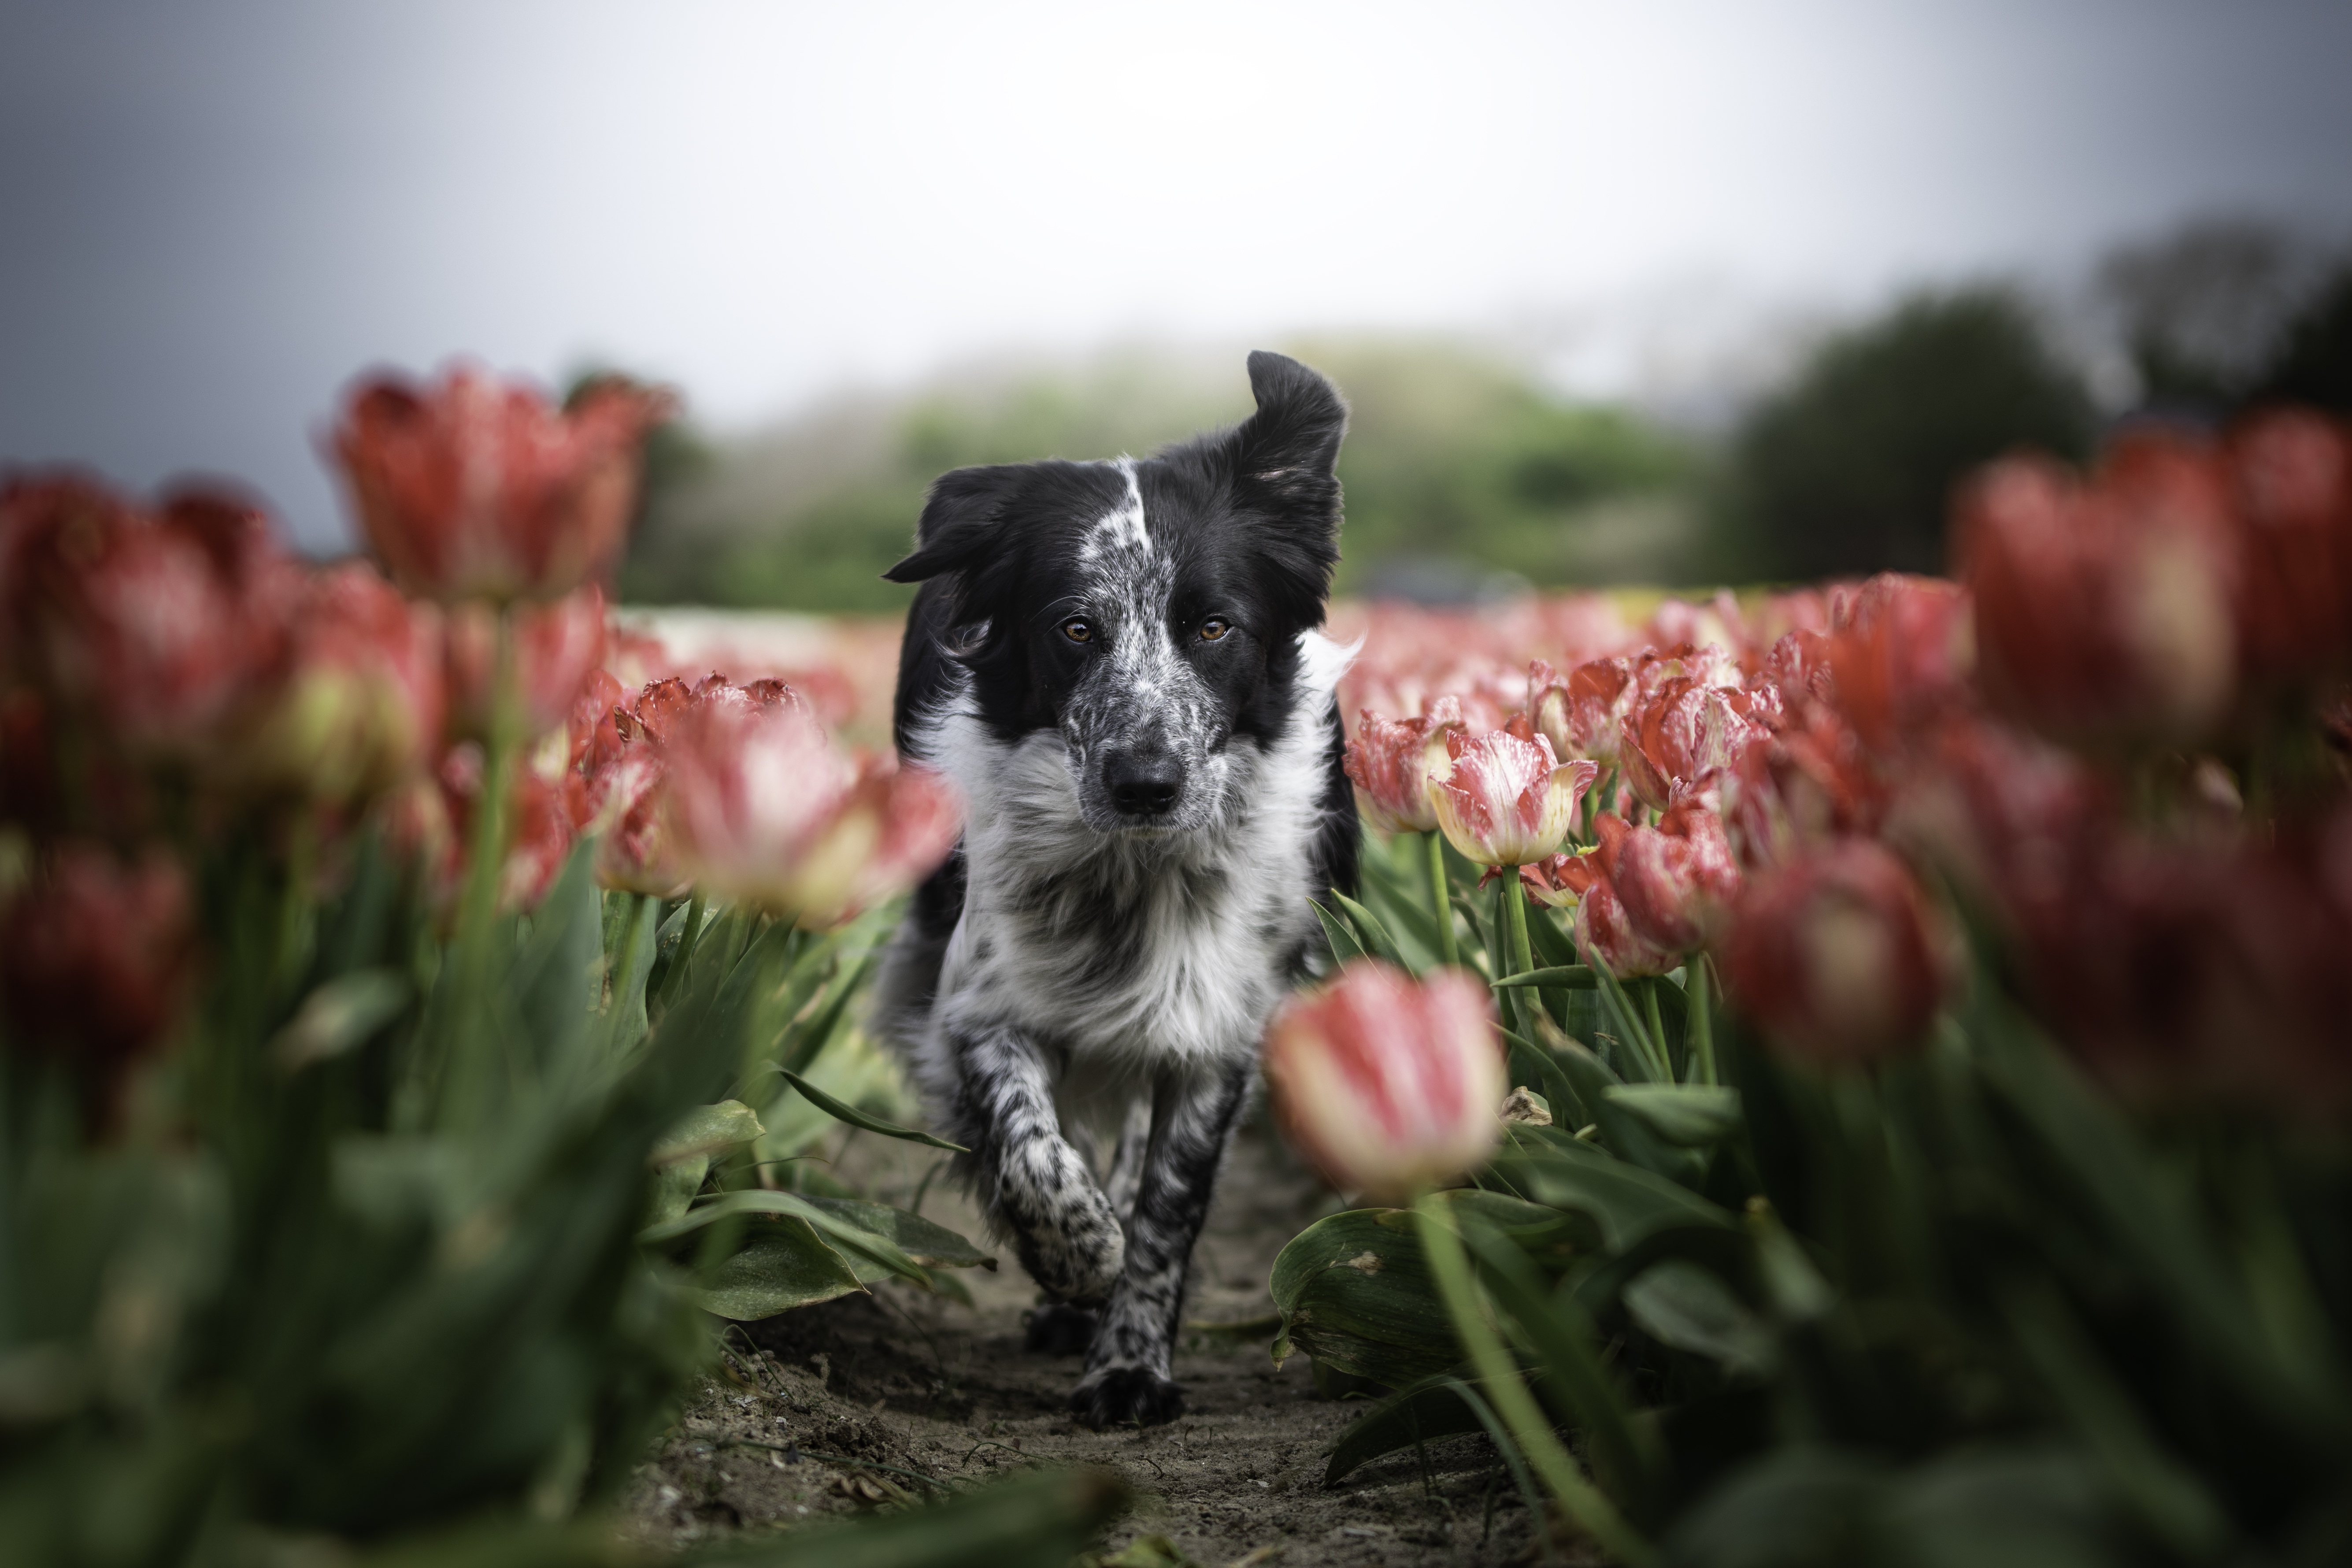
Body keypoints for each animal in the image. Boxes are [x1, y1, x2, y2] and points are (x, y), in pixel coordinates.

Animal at [884, 350, 1364, 1429]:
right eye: (1074, 628)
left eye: (1214, 627)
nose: (1146, 783)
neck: (1134, 872)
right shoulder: (977, 1002)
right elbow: (1031, 1151)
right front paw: (1077, 1259)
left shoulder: (1218, 1030)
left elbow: (1165, 1210)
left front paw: (1130, 1362)